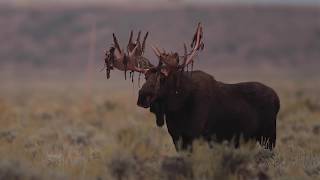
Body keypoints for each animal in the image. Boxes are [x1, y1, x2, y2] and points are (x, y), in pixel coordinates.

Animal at [104, 23, 280, 150]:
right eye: (146, 76)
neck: (177, 108)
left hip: (268, 137)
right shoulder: (178, 138)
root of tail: (277, 99)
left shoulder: (197, 137)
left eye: (162, 77)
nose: (142, 97)